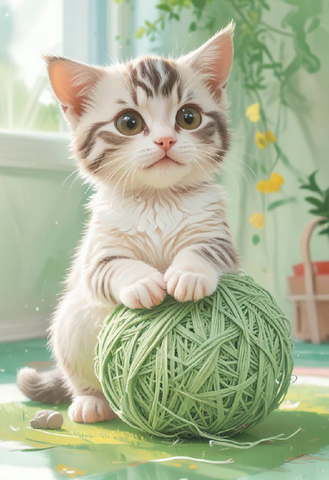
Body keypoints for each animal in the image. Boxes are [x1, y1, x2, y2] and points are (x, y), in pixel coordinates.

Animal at [17, 22, 238, 424]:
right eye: (129, 123)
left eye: (188, 117)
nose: (165, 140)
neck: (158, 200)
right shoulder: (97, 254)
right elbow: (114, 267)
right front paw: (143, 282)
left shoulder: (220, 239)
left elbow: (205, 251)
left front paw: (189, 274)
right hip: (69, 326)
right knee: (83, 380)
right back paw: (91, 403)